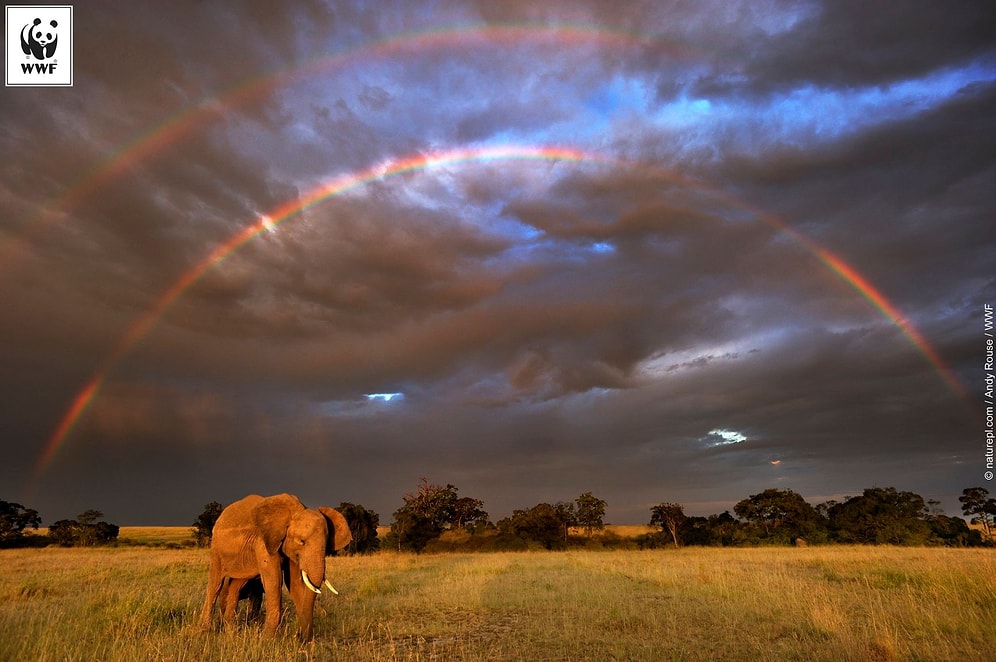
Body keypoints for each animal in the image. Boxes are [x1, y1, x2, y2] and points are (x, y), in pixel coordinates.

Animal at [196, 492, 352, 644]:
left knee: (236, 585)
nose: (300, 637)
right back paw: (204, 630)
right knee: (215, 584)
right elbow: (274, 582)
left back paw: (229, 630)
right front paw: (267, 641)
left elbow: (294, 584)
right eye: (302, 541)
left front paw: (306, 643)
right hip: (216, 548)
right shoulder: (263, 543)